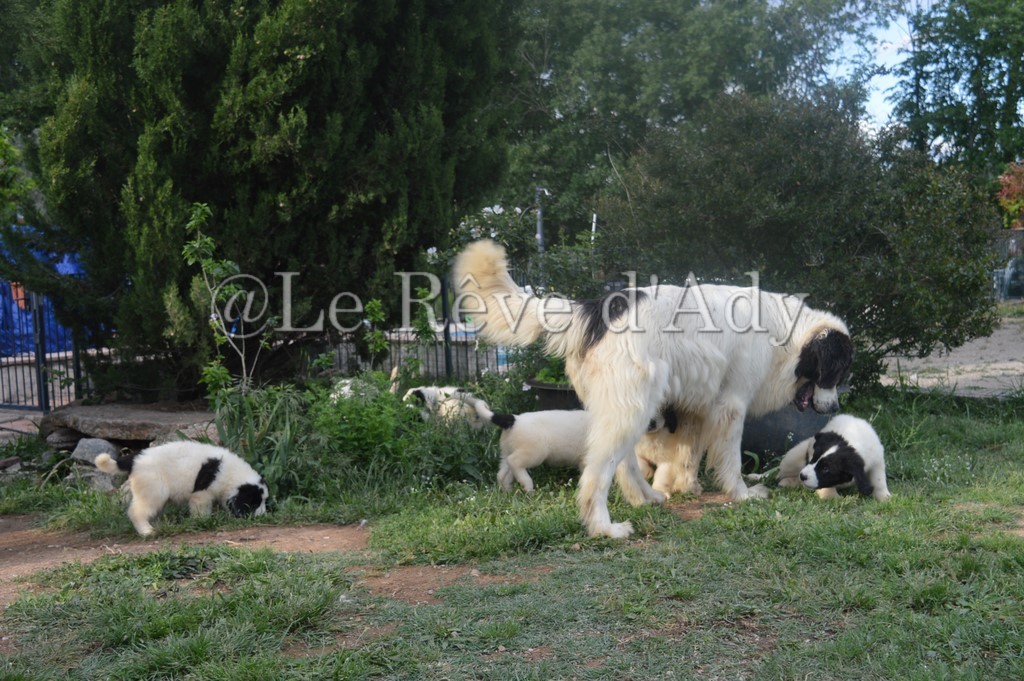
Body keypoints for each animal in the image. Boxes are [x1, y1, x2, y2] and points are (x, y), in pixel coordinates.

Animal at [94, 442, 269, 537]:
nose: (263, 516)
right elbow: (201, 508)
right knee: (136, 511)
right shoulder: (202, 494)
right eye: (254, 503)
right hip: (153, 489)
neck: (229, 472)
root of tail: (134, 459)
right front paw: (202, 520)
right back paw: (147, 530)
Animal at [453, 239, 853, 538]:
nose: (835, 408)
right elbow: (730, 459)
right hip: (632, 406)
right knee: (599, 472)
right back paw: (603, 527)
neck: (783, 332)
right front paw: (740, 493)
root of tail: (598, 308)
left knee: (626, 463)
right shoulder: (731, 405)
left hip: (632, 408)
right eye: (835, 371)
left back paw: (646, 498)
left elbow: (688, 454)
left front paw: (687, 487)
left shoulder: (693, 410)